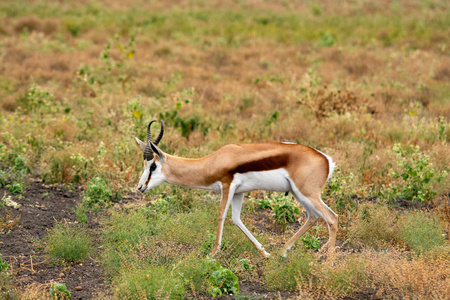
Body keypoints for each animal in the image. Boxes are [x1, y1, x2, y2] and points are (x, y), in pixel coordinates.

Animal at [134, 119, 338, 258]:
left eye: (153, 166)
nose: (140, 187)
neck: (211, 162)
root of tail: (326, 159)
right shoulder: (239, 192)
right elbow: (236, 219)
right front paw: (265, 253)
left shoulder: (227, 186)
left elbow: (221, 215)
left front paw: (212, 254)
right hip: (300, 194)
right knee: (313, 217)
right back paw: (282, 252)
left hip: (308, 194)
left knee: (332, 218)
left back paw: (328, 265)